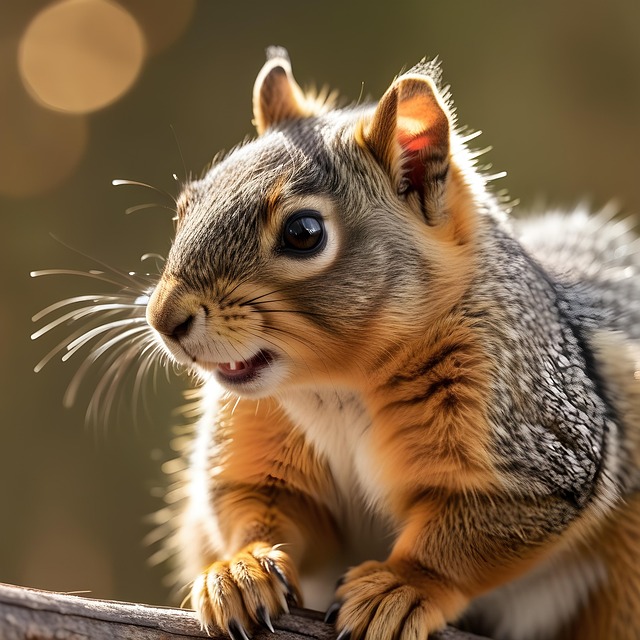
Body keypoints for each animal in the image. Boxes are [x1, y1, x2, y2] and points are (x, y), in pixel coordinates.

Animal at [36, 46, 640, 639]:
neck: (339, 387)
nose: (163, 319)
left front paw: (402, 585)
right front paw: (241, 569)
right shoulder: (260, 440)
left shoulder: (533, 446)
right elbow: (256, 503)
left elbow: (464, 536)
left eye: (304, 233)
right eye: (187, 206)